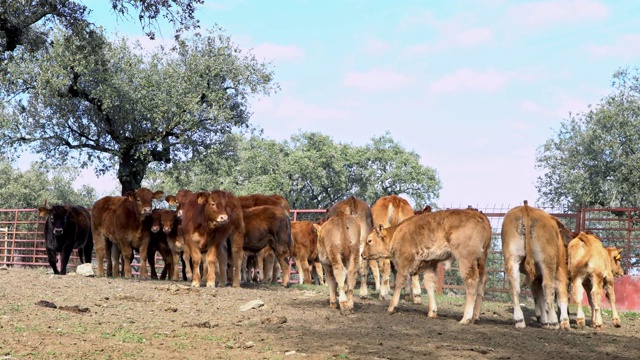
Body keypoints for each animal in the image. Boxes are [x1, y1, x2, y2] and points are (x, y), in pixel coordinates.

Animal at [362, 208, 492, 324]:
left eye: (369, 241)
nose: (362, 254)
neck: (397, 233)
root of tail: (479, 215)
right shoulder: (430, 263)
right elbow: (429, 284)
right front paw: (432, 311)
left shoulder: (404, 262)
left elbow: (399, 282)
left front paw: (391, 307)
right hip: (481, 259)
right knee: (482, 280)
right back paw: (475, 317)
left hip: (466, 258)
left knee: (471, 280)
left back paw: (466, 318)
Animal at [500, 201, 568, 330]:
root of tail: (526, 208)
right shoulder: (560, 271)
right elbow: (561, 295)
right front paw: (564, 321)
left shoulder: (536, 278)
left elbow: (540, 298)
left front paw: (544, 321)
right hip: (547, 262)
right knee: (548, 287)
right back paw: (554, 322)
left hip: (512, 259)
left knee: (514, 287)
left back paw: (519, 320)